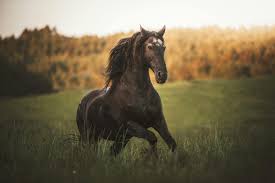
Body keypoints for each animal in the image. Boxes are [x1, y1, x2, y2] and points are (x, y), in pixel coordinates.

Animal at [76, 25, 178, 155]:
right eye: (150, 46)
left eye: (164, 47)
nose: (162, 75)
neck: (137, 93)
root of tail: (83, 101)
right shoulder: (130, 126)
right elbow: (152, 137)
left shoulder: (159, 120)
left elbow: (172, 143)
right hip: (89, 136)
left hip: (121, 139)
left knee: (112, 152)